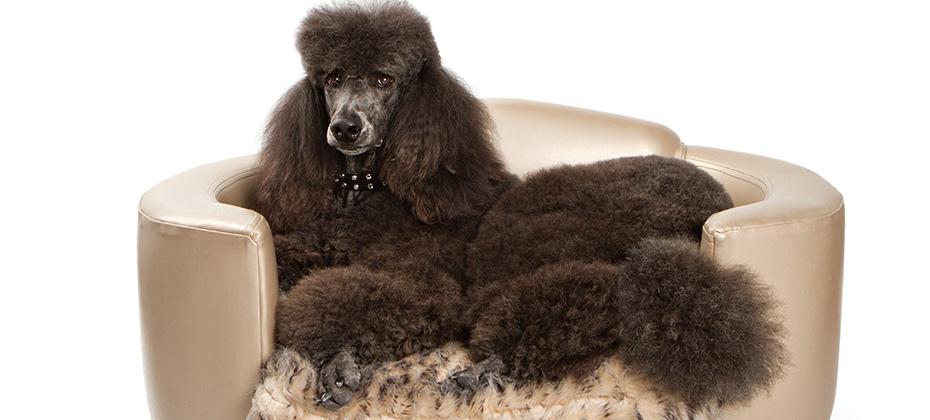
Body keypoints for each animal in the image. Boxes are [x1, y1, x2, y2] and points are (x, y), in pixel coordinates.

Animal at [258, 0, 788, 414]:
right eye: (333, 78)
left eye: (385, 79)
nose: (345, 128)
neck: (367, 187)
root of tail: (714, 196)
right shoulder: (315, 241)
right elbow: (293, 257)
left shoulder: (428, 280)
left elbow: (352, 299)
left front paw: (339, 361)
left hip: (532, 232)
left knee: (586, 298)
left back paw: (483, 371)